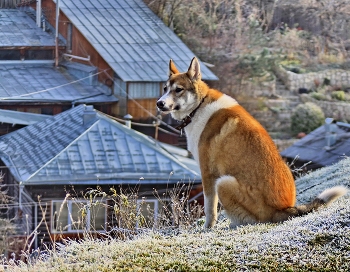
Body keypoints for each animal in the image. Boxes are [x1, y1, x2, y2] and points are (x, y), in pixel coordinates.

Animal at [157, 58, 348, 230]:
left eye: (178, 90)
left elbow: (210, 209)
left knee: (251, 221)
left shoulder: (208, 174)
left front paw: (207, 228)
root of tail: (282, 209)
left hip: (223, 183)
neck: (198, 106)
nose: (159, 103)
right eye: (165, 89)